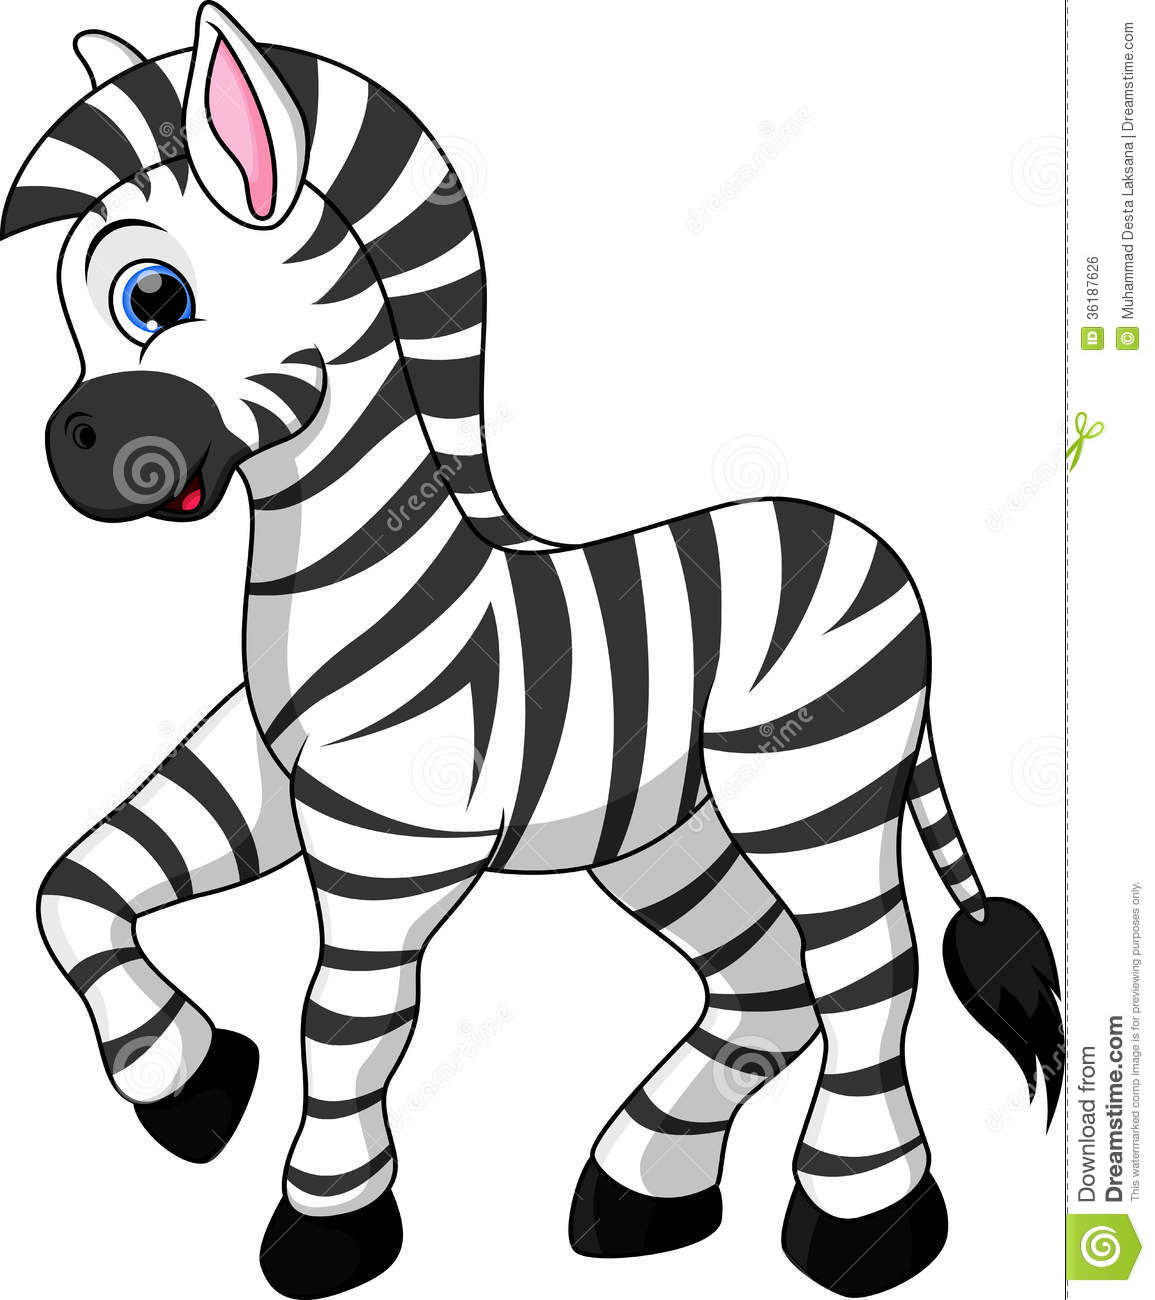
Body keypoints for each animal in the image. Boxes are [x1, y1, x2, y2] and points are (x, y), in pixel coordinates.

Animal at [5, 7, 1064, 1298]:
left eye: (152, 295)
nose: (70, 454)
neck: (356, 580)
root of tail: (875, 550)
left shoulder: (393, 848)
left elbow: (344, 1026)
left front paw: (326, 1223)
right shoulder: (259, 788)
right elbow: (73, 889)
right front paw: (191, 1084)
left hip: (815, 791)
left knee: (868, 975)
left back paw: (862, 1221)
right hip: (666, 834)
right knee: (765, 979)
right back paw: (643, 1185)